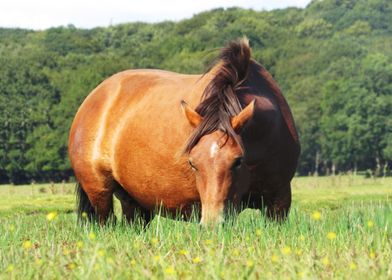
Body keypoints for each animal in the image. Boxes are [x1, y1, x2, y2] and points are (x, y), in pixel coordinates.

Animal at [68, 38, 300, 225]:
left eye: (238, 161)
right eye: (192, 163)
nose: (212, 224)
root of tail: (94, 97)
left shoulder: (279, 200)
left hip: (134, 202)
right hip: (99, 193)